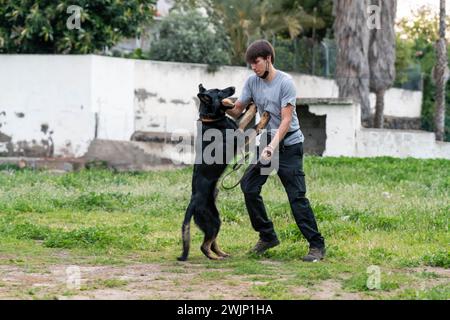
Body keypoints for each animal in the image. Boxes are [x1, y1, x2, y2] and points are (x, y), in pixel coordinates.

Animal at [177, 84, 239, 262]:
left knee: (212, 243)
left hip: (214, 222)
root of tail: (192, 202)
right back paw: (215, 257)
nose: (233, 87)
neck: (210, 119)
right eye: (219, 91)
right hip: (213, 221)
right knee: (204, 246)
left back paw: (221, 254)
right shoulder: (239, 133)